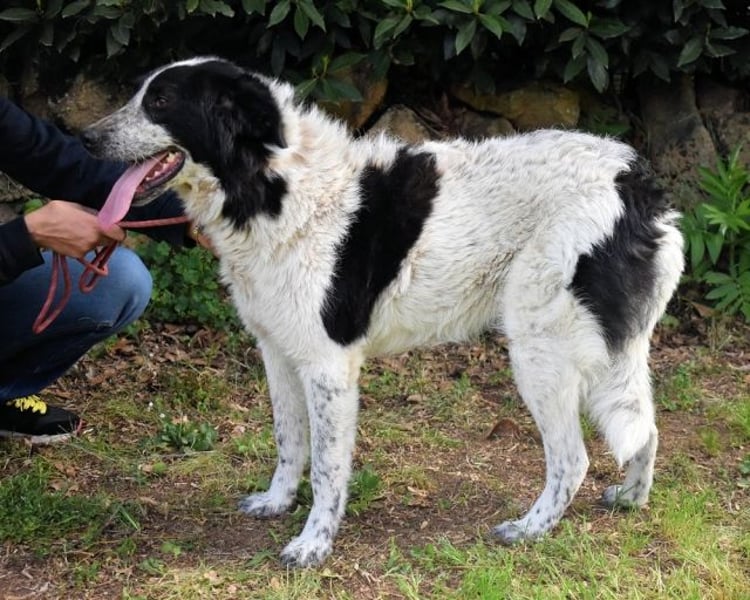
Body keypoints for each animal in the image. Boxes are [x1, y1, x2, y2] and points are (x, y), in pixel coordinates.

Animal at [81, 56, 685, 567]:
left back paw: (531, 528)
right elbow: (288, 442)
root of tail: (634, 182)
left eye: (160, 101)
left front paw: (314, 544)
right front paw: (277, 503)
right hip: (611, 351)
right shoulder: (278, 352)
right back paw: (632, 499)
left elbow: (327, 469)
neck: (273, 186)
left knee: (572, 459)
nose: (85, 137)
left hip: (542, 351)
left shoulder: (328, 366)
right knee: (647, 428)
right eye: (139, 94)